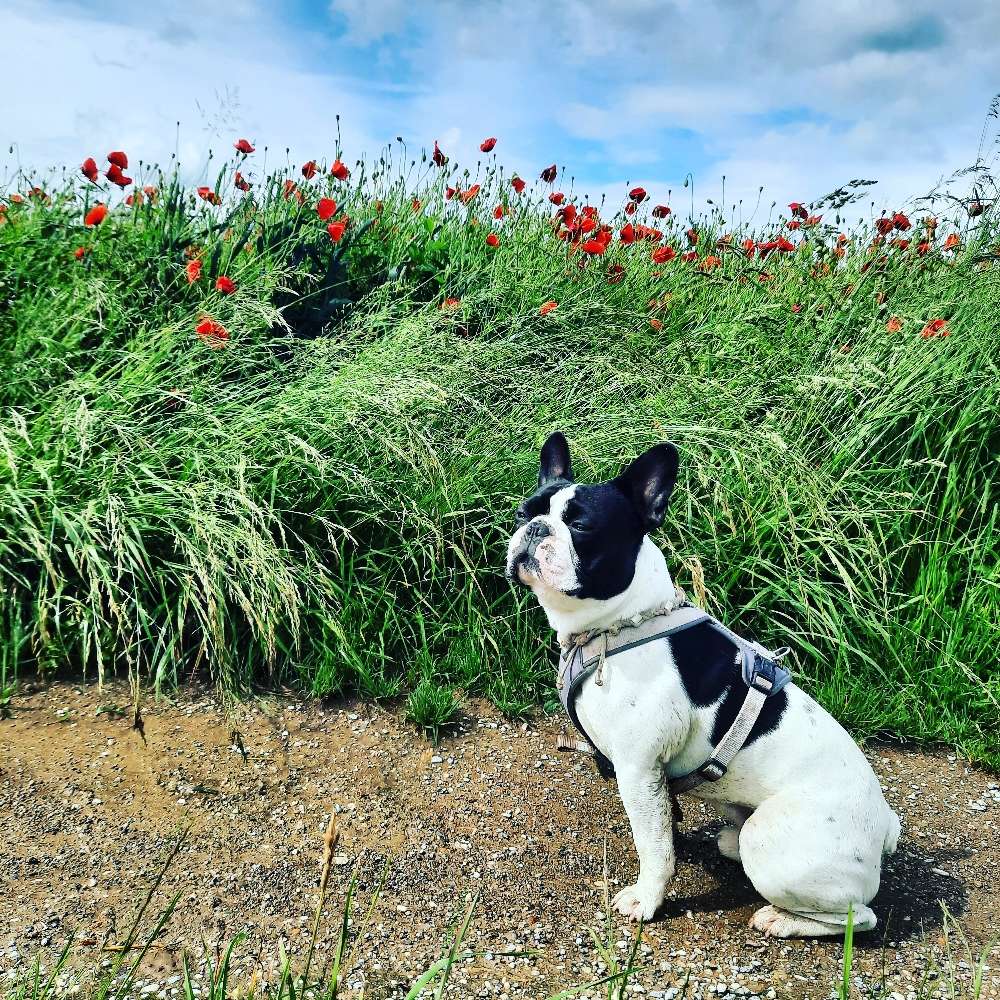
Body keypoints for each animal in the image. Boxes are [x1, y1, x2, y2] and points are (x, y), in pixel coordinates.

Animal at [504, 432, 904, 936]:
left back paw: (782, 920)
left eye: (580, 526)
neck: (619, 624)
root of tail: (885, 825)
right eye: (524, 512)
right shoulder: (651, 776)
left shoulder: (638, 769)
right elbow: (665, 827)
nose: (536, 528)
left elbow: (654, 845)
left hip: (773, 845)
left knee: (858, 917)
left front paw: (647, 899)